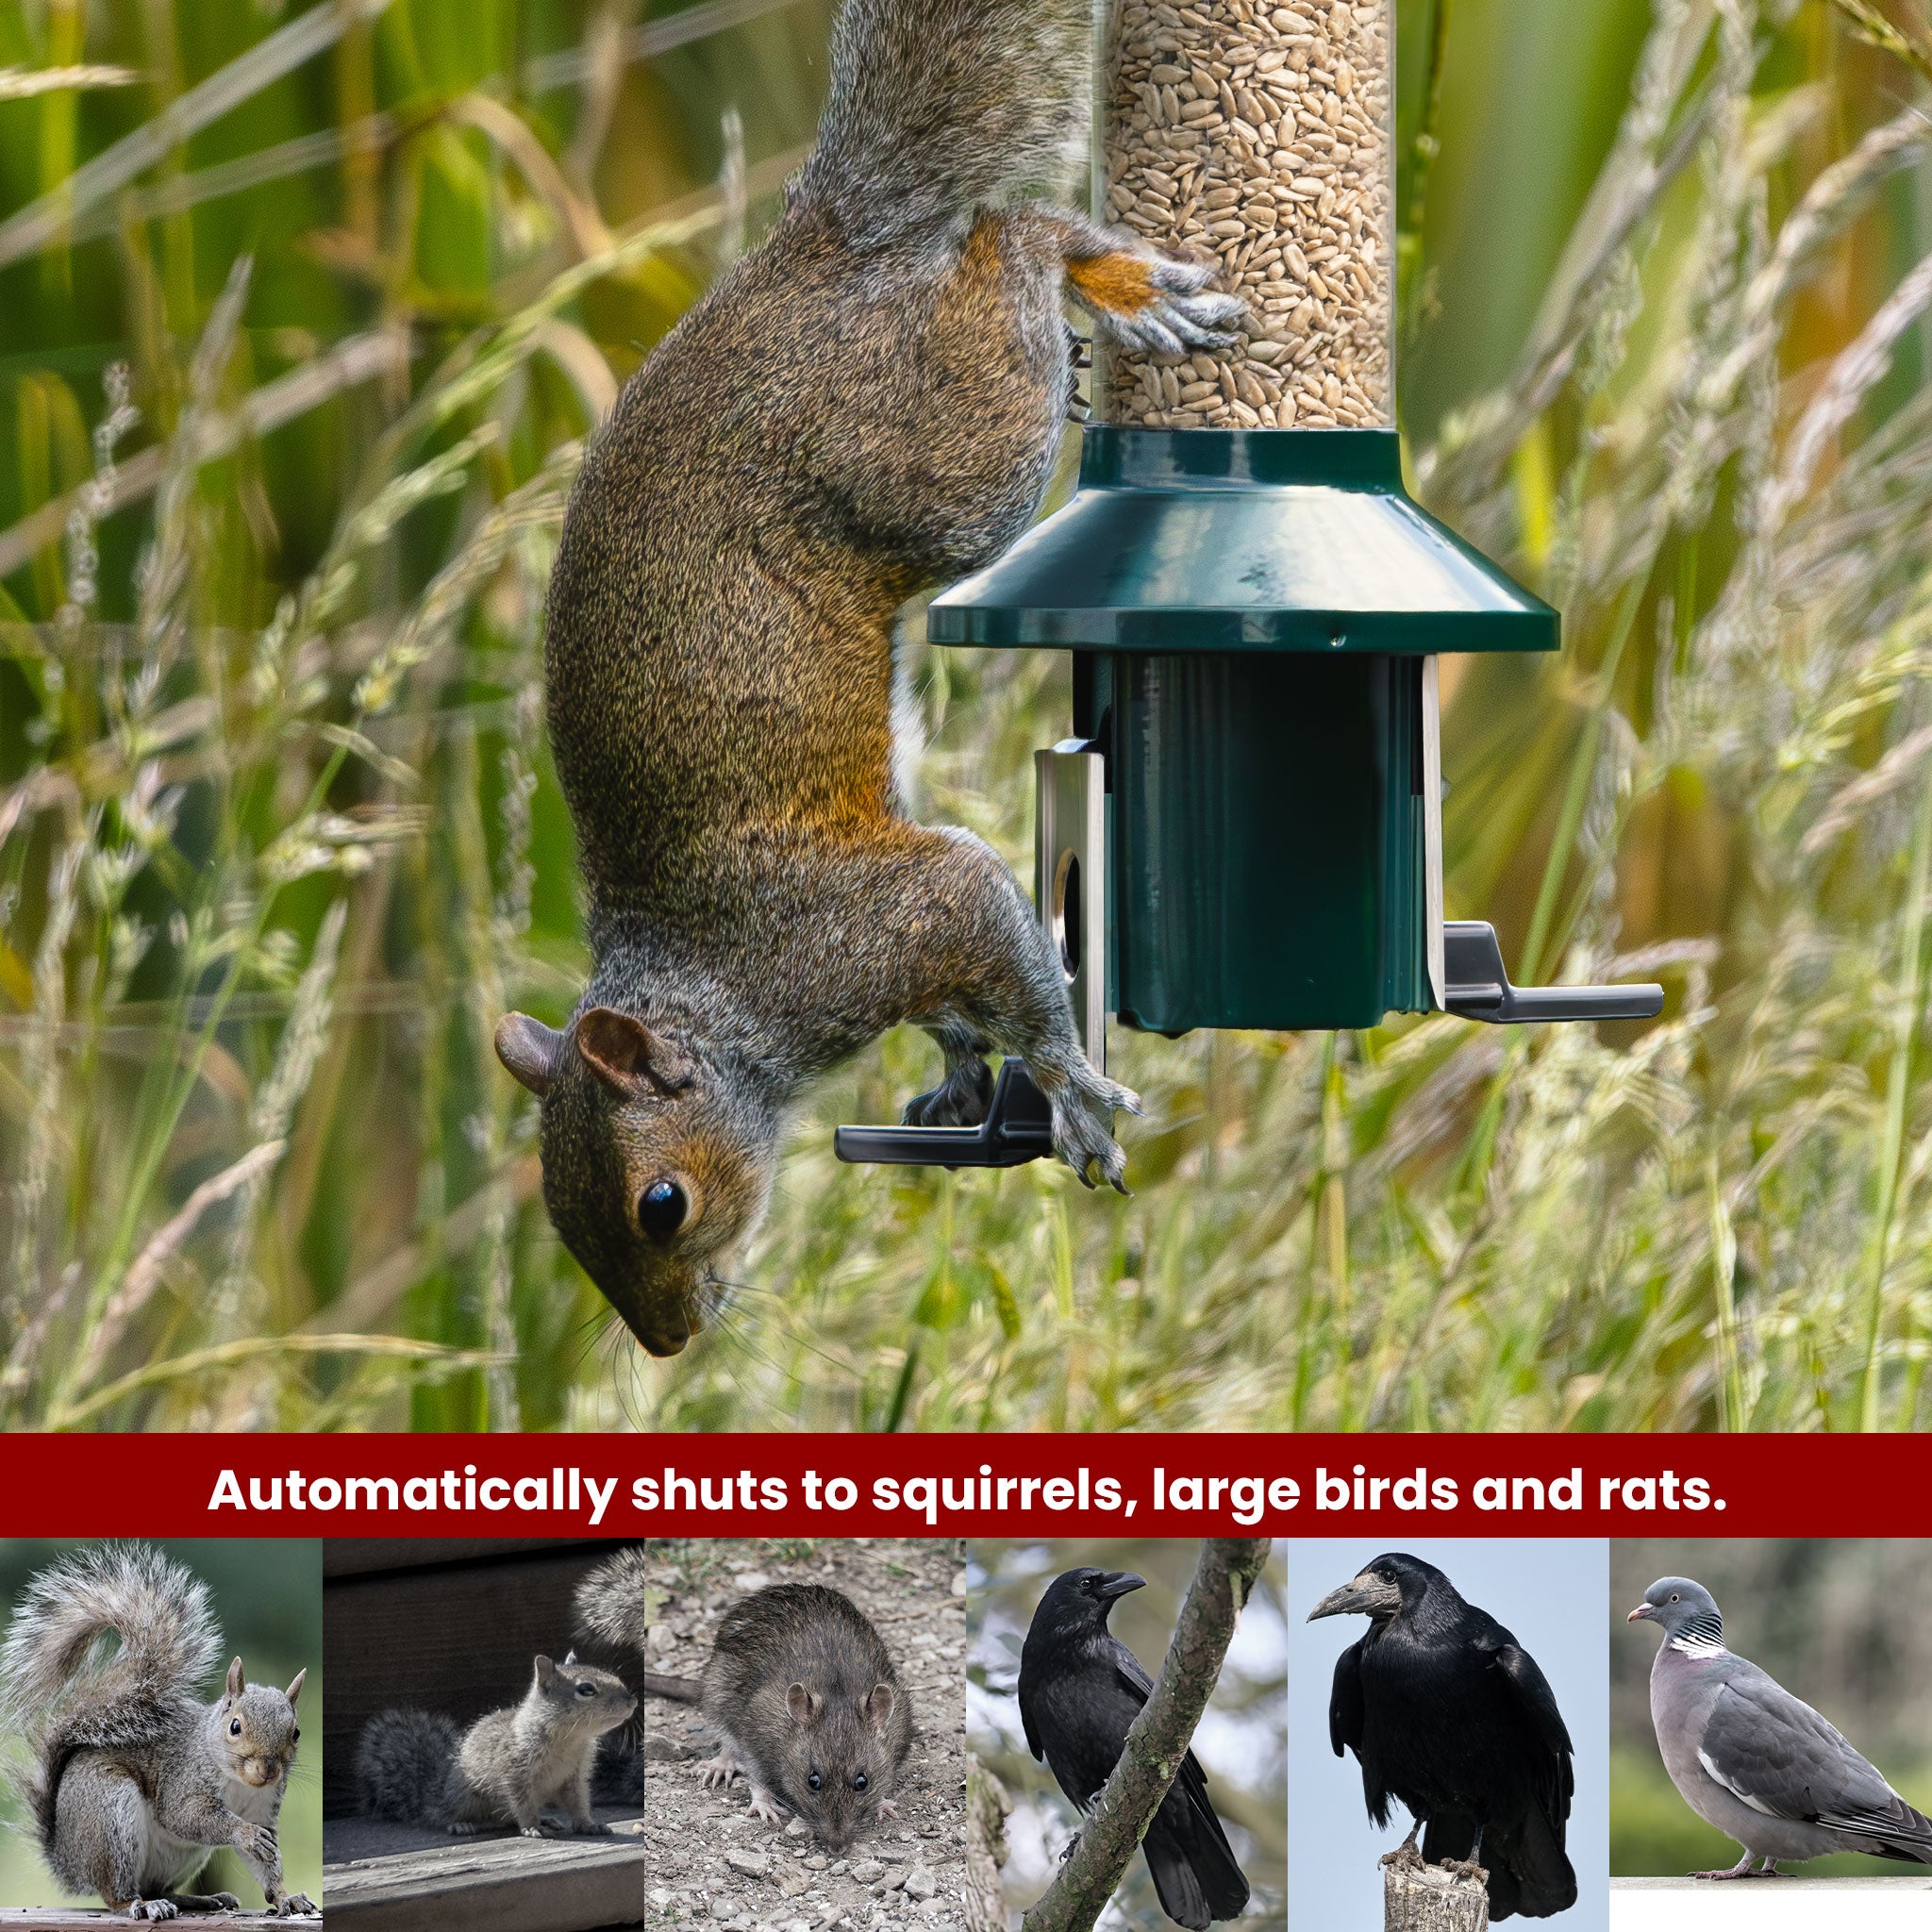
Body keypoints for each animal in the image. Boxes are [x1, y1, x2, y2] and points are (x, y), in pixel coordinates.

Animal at [0, 1542, 317, 1922]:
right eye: (235, 1726)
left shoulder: (264, 1808)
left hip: (182, 1856)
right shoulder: (182, 1782)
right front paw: (245, 1834)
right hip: (111, 1816)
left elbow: (267, 1865)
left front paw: (287, 1897)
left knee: (159, 1887)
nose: (268, 1770)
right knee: (117, 1893)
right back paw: (141, 1904)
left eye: (295, 1733)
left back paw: (199, 1900)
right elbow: (188, 1816)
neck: (239, 1782)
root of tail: (68, 1861)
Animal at [356, 1652, 637, 1838]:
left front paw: (588, 1824)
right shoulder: (515, 1770)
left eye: (610, 1673)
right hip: (465, 1796)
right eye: (586, 1689)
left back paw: (546, 1819)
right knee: (449, 1814)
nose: (631, 1701)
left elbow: (578, 1802)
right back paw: (461, 1824)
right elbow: (522, 1803)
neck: (570, 1739)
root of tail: (434, 1795)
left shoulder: (575, 1777)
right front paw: (532, 1826)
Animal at [491, 0, 1243, 1355]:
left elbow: (988, 928)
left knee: (1011, 236)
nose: (668, 1343)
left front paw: (1064, 1080)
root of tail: (816, 251)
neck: (725, 999)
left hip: (941, 461)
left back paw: (1108, 281)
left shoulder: (868, 928)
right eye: (563, 1225)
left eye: (660, 1204)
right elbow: (965, 995)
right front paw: (960, 1066)